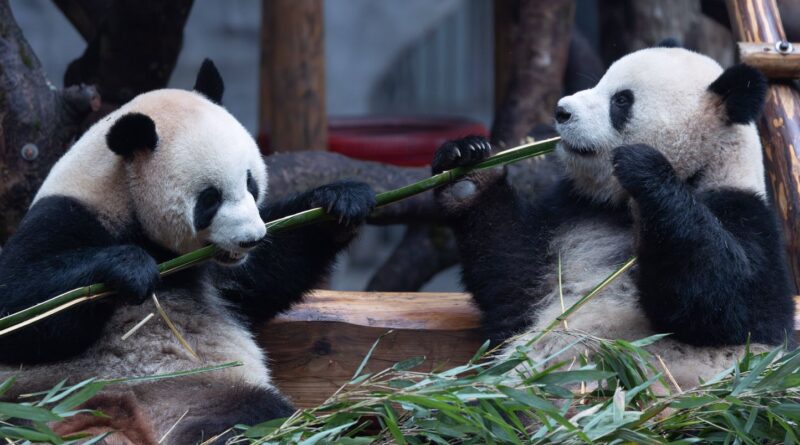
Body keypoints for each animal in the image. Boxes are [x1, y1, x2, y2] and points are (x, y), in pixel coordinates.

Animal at [0, 60, 376, 444]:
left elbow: (268, 273)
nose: (251, 239)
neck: (123, 194)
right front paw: (128, 268)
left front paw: (340, 202)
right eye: (210, 199)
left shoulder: (215, 266)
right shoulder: (67, 215)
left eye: (251, 183)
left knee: (248, 416)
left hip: (200, 394)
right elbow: (20, 310)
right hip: (36, 399)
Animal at [431, 45, 796, 390]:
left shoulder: (745, 214)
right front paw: (466, 172)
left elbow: (734, 309)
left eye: (621, 100)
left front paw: (645, 169)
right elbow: (514, 280)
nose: (562, 111)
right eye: (599, 82)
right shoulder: (572, 215)